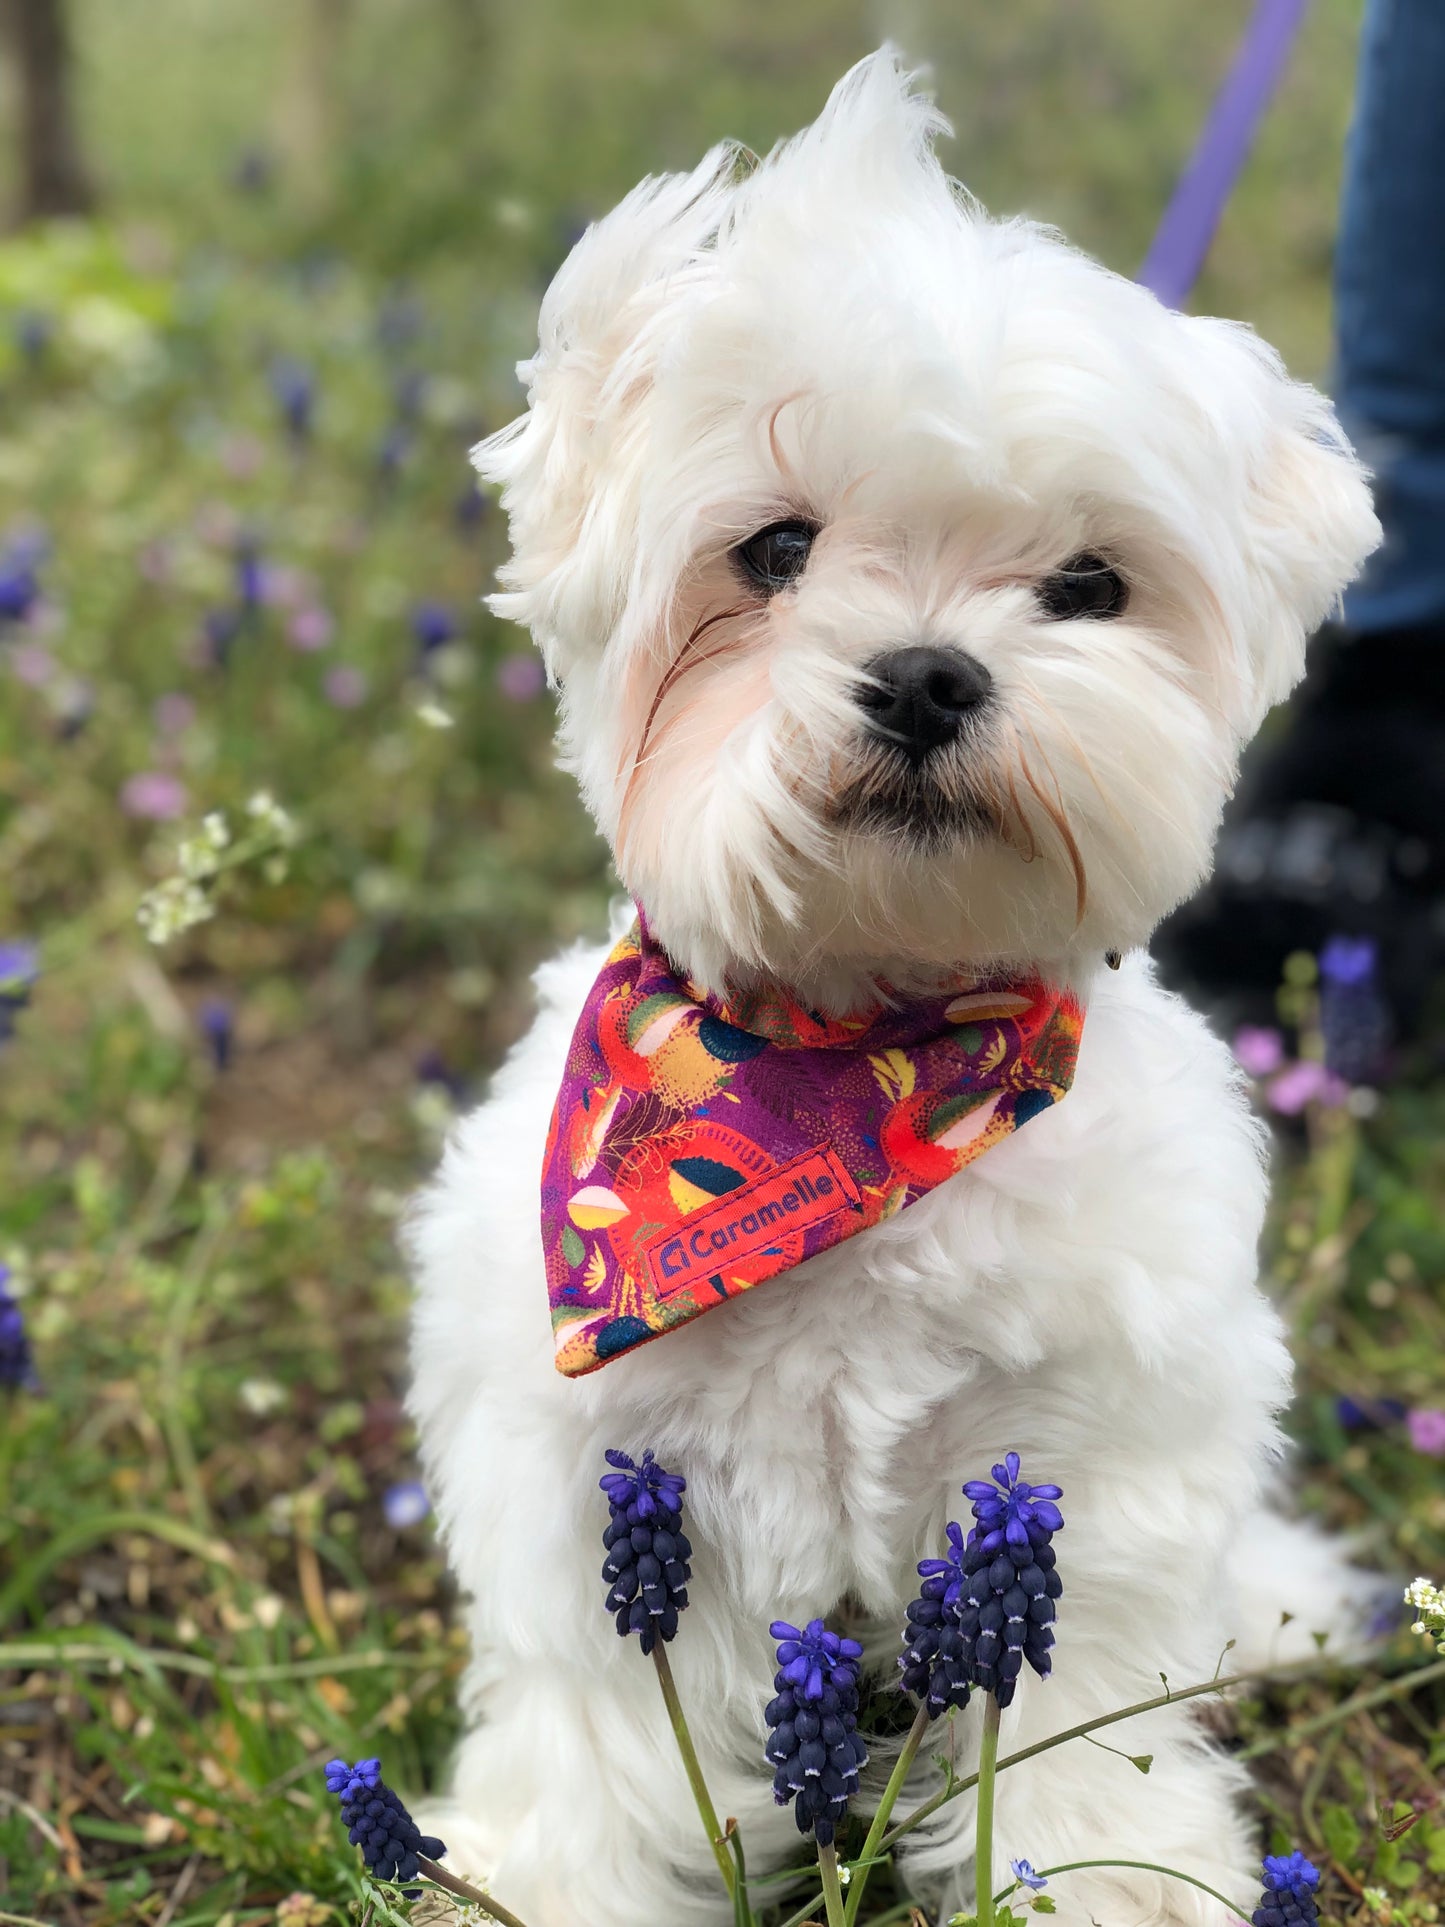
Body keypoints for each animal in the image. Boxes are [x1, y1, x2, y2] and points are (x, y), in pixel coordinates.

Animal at [404, 52, 1379, 1927]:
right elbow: (603, 1727)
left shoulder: (1083, 1469)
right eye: (773, 549)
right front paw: (559, 1876)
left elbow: (1075, 1723)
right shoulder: (601, 1479)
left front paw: (1116, 1879)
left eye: (1089, 583)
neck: (855, 1061)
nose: (928, 673)